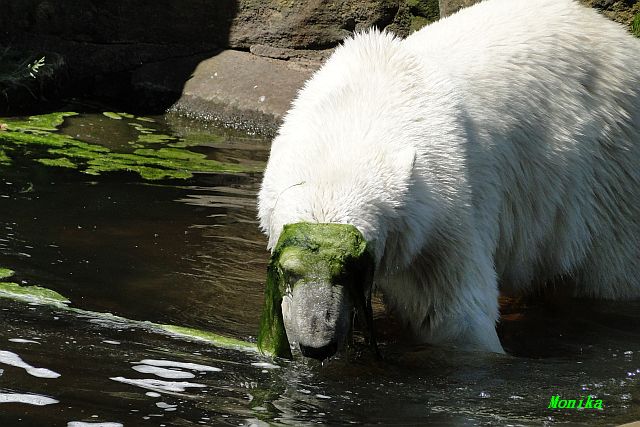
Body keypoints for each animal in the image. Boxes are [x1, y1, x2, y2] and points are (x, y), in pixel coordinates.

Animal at [257, 0, 640, 360]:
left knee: (612, 273)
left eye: (351, 267)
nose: (317, 345)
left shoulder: (444, 206)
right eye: (290, 269)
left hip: (608, 177)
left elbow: (451, 313)